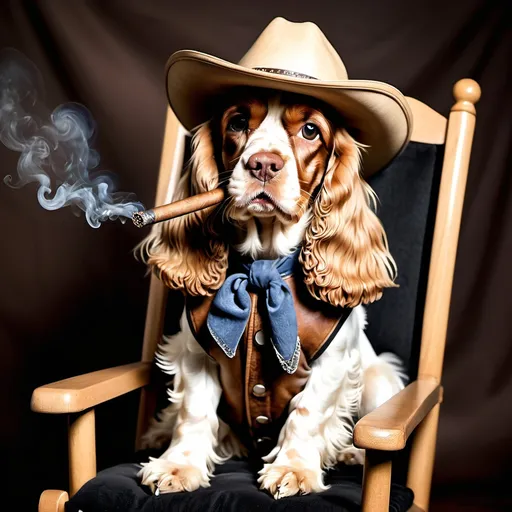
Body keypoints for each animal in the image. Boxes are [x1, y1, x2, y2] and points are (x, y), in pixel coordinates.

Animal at [137, 86, 408, 498]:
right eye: (237, 122)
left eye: (311, 130)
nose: (263, 164)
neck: (262, 267)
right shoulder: (196, 353)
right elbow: (194, 412)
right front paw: (179, 465)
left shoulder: (332, 364)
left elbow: (307, 414)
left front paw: (293, 470)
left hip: (379, 379)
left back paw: (351, 454)